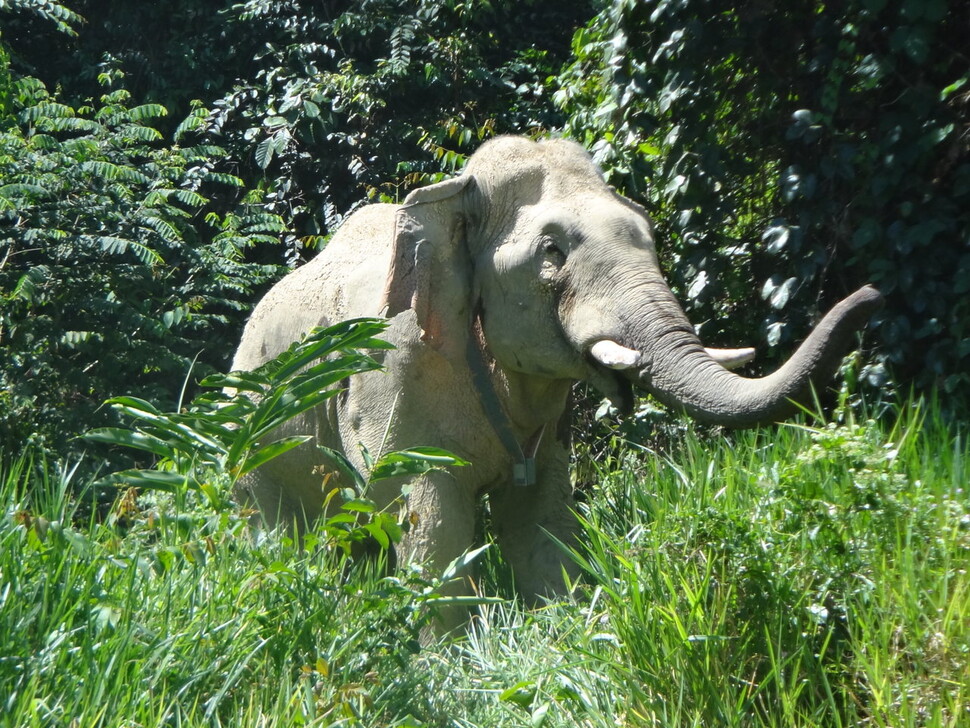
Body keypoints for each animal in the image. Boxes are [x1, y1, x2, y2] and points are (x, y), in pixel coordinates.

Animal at [231, 136, 880, 624]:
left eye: (648, 234)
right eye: (552, 252)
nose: (871, 294)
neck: (453, 193)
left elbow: (541, 519)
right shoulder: (393, 379)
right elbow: (428, 520)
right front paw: (447, 664)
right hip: (254, 443)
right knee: (278, 534)